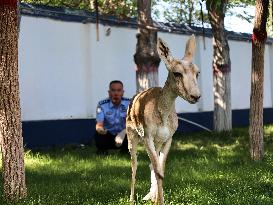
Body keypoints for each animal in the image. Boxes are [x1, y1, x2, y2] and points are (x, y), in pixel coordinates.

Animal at [125, 34, 200, 204]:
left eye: (197, 72)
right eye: (177, 73)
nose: (196, 96)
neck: (163, 116)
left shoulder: (168, 139)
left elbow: (161, 169)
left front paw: (158, 200)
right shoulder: (147, 137)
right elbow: (157, 170)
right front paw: (159, 200)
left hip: (156, 143)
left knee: (151, 166)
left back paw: (151, 197)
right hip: (132, 138)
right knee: (134, 164)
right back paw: (132, 199)